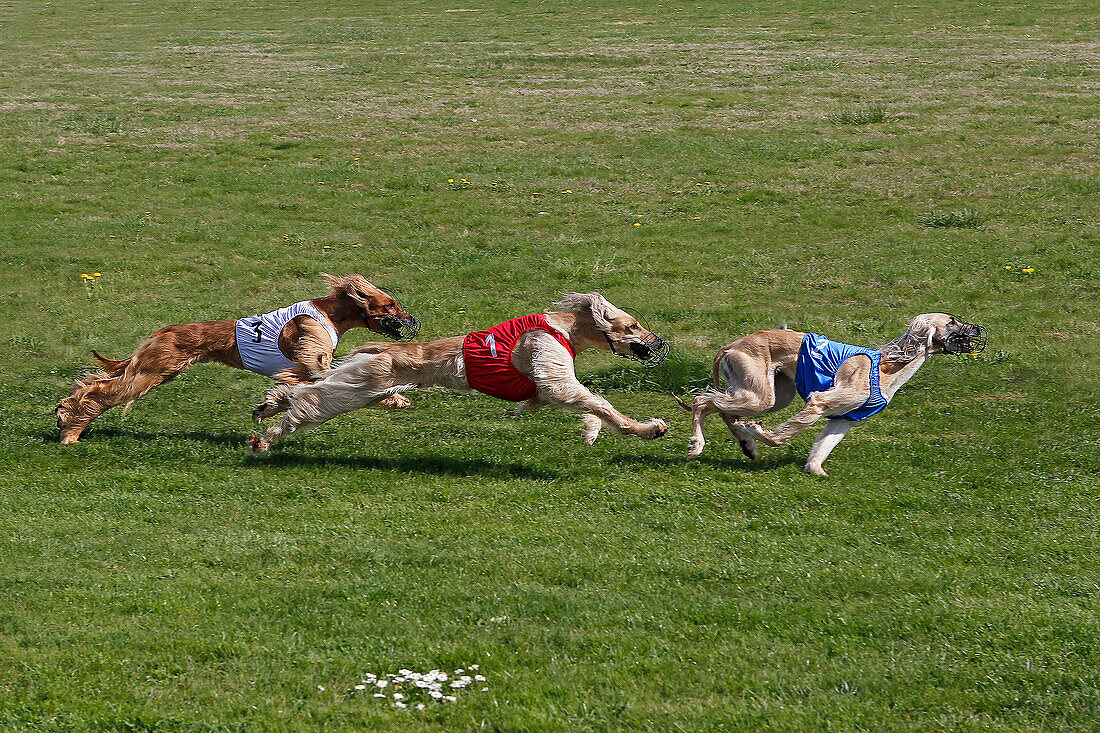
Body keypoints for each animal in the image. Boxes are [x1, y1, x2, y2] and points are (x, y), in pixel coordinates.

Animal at [54, 274, 420, 442]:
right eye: (390, 306)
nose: (412, 319)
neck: (329, 313)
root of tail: (164, 330)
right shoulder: (310, 362)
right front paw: (394, 399)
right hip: (151, 372)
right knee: (100, 393)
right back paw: (71, 430)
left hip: (154, 369)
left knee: (92, 383)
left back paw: (63, 413)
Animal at [247, 290, 668, 451]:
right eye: (632, 325)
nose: (661, 342)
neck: (564, 327)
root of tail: (381, 346)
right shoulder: (551, 369)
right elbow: (597, 401)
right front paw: (648, 428)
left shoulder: (549, 386)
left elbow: (584, 403)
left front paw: (590, 431)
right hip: (364, 384)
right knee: (310, 400)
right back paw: (266, 437)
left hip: (369, 386)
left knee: (304, 390)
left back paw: (269, 406)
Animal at [677, 312, 990, 473]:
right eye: (952, 321)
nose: (978, 329)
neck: (889, 367)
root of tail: (731, 345)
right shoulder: (821, 402)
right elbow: (780, 436)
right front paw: (756, 431)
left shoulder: (844, 419)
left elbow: (822, 448)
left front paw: (815, 471)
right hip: (760, 395)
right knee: (702, 401)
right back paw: (698, 445)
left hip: (775, 394)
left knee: (722, 408)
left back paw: (746, 445)